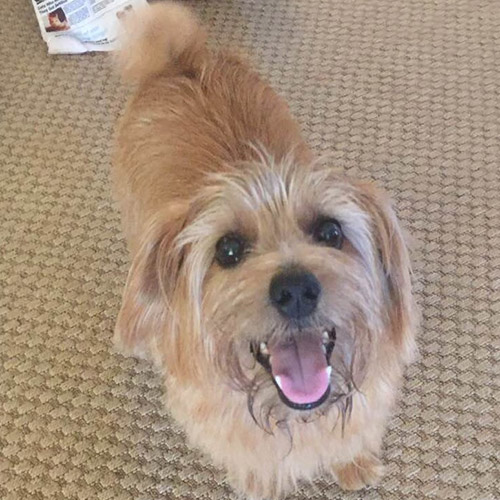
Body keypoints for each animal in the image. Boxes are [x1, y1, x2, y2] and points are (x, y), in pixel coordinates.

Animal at [112, 3, 418, 498]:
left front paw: (353, 464)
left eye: (330, 231)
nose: (295, 290)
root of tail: (181, 63)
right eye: (228, 250)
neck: (296, 413)